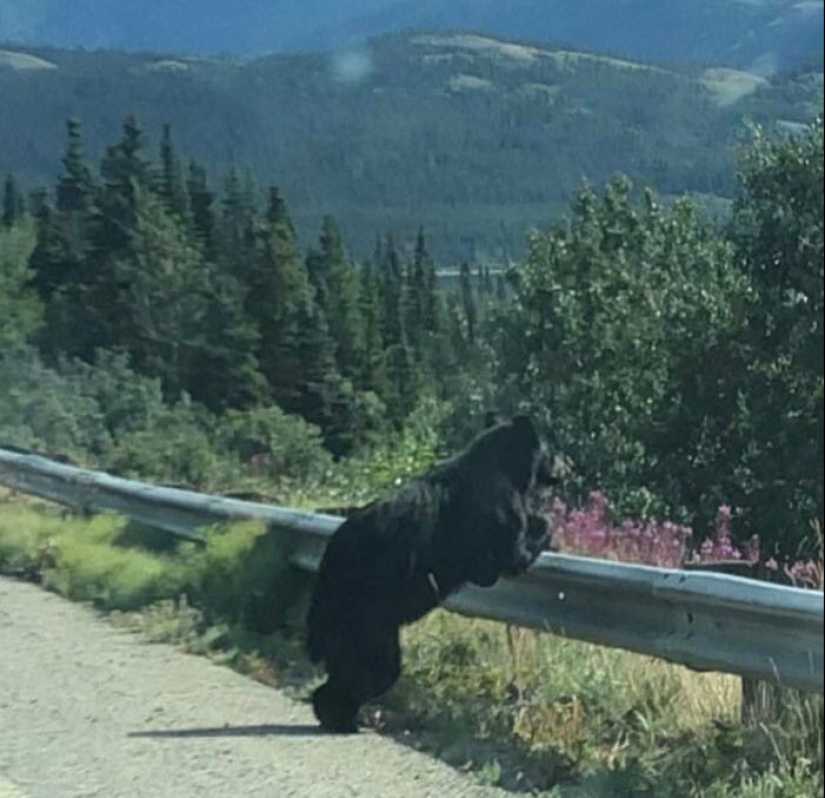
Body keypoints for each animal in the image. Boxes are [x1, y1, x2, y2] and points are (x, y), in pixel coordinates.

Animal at [305, 413, 557, 733]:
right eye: (549, 448)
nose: (558, 471)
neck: (503, 462)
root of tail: (332, 554)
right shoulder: (500, 511)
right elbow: (514, 555)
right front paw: (544, 524)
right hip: (362, 617)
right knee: (374, 669)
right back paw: (341, 718)